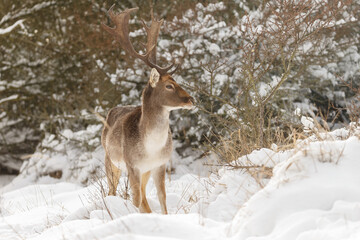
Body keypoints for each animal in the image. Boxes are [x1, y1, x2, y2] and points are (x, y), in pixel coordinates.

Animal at [101, 5, 193, 214]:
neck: (151, 147)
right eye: (169, 86)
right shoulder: (132, 164)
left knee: (143, 195)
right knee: (113, 192)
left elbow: (161, 197)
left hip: (145, 170)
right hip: (110, 159)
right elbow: (135, 198)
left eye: (177, 81)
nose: (191, 99)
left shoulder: (160, 164)